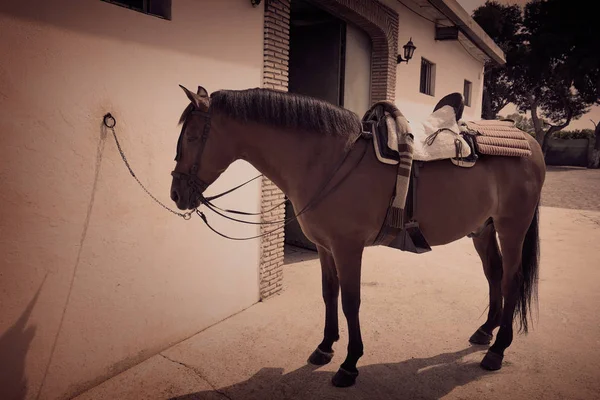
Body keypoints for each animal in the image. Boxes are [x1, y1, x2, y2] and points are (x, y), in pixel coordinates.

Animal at [170, 84, 548, 388]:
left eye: (191, 137)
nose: (176, 194)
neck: (327, 159)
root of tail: (531, 142)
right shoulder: (325, 247)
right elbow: (329, 294)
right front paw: (325, 347)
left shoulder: (348, 248)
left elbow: (351, 301)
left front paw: (349, 365)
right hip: (483, 228)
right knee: (494, 274)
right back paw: (485, 332)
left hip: (512, 226)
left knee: (512, 279)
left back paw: (497, 350)